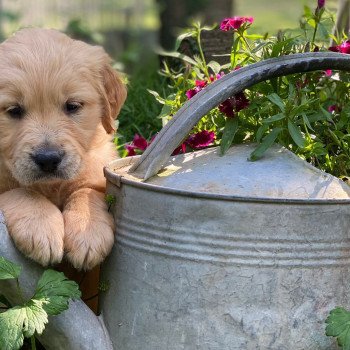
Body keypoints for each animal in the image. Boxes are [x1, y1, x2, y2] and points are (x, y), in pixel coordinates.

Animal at [0, 28, 126, 270]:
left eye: (73, 106)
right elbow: (21, 191)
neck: (51, 186)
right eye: (13, 110)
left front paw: (88, 232)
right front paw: (41, 227)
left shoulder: (95, 170)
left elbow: (87, 191)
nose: (48, 159)